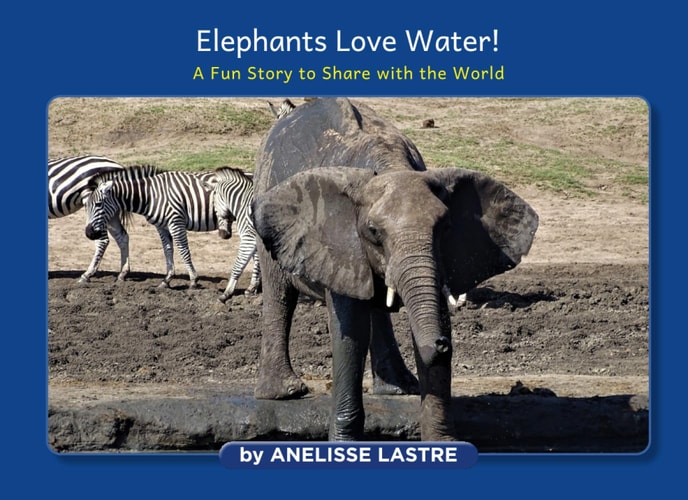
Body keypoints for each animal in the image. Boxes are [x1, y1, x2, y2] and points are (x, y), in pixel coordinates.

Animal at [250, 98, 539, 441]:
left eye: (445, 227)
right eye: (374, 231)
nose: (441, 345)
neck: (389, 164)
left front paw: (441, 440)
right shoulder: (340, 242)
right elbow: (350, 331)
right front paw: (344, 442)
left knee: (378, 310)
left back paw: (399, 389)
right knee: (279, 295)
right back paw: (285, 393)